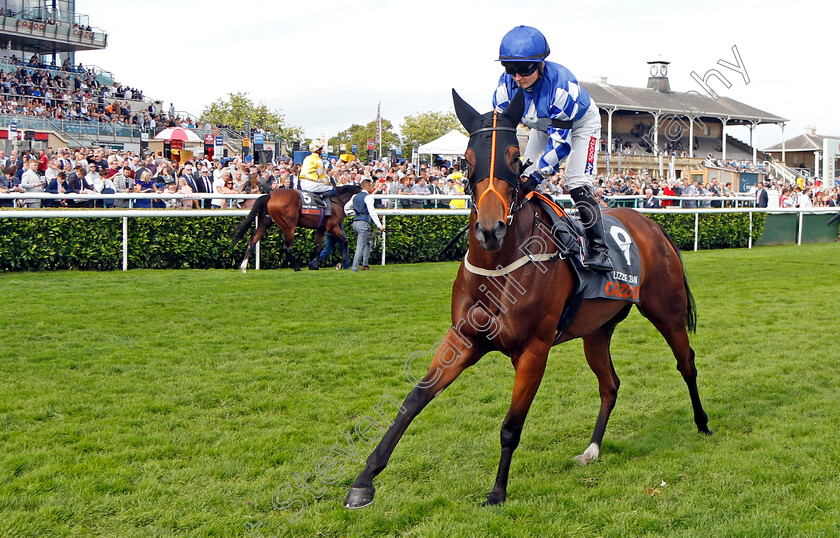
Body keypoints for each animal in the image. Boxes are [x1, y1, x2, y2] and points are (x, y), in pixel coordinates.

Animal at [231, 186, 360, 272]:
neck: (336, 201)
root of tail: (270, 195)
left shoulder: (320, 229)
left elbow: (318, 248)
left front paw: (315, 266)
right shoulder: (332, 227)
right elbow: (345, 241)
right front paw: (340, 264)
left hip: (265, 222)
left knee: (253, 240)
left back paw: (243, 267)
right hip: (289, 227)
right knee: (286, 247)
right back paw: (297, 268)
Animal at [344, 88, 712, 506]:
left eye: (513, 156)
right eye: (466, 158)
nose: (490, 229)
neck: (501, 263)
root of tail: (653, 225)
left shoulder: (534, 351)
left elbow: (510, 425)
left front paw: (497, 492)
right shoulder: (463, 339)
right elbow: (413, 400)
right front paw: (364, 480)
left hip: (666, 310)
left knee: (686, 363)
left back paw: (702, 422)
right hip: (596, 331)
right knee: (610, 384)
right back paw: (592, 450)